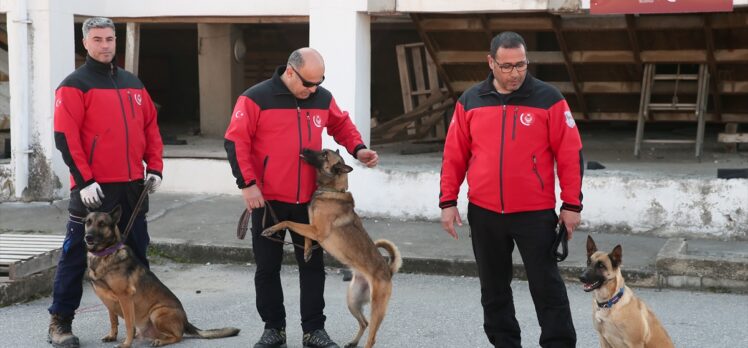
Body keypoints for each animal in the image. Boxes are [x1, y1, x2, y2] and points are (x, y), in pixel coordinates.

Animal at [86, 205, 241, 346]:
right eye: (88, 222)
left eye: (102, 224)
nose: (88, 237)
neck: (105, 254)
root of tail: (185, 321)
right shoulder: (109, 301)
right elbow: (113, 320)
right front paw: (112, 336)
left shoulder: (125, 297)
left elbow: (129, 324)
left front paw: (126, 344)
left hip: (157, 312)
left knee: (178, 336)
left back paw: (160, 341)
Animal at [262, 147, 404, 348]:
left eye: (324, 155)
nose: (304, 149)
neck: (331, 190)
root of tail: (388, 270)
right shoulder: (312, 228)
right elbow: (305, 235)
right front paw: (307, 251)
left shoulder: (317, 230)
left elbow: (287, 221)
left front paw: (272, 228)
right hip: (352, 301)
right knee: (364, 322)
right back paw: (353, 342)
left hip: (377, 308)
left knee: (372, 336)